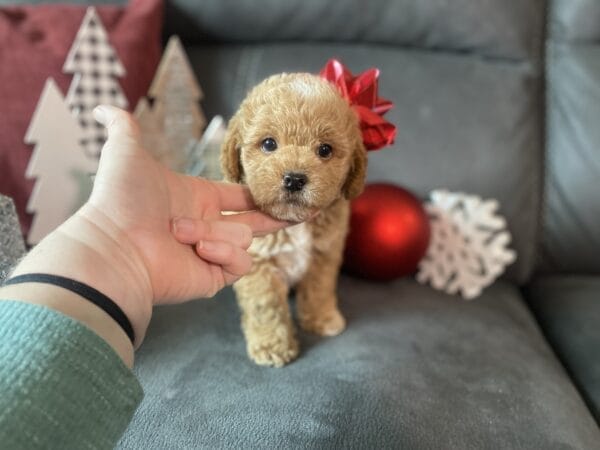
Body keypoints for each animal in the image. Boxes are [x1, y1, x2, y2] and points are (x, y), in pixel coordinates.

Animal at [221, 71, 366, 366]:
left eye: (325, 150)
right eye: (268, 144)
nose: (295, 178)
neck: (295, 222)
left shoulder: (324, 254)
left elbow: (319, 289)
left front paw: (322, 318)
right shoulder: (258, 265)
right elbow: (266, 308)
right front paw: (272, 345)